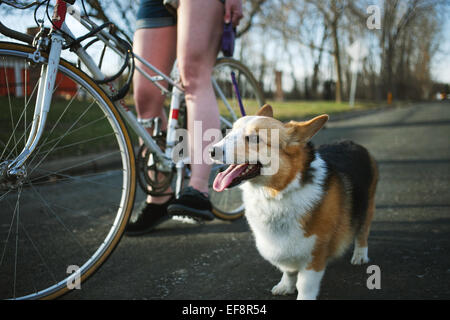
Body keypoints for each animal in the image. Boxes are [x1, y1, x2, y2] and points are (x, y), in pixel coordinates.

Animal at [212, 104, 380, 300]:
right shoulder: (285, 250)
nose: (211, 151)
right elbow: (289, 271)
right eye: (229, 131)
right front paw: (285, 285)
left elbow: (305, 285)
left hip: (367, 205)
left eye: (254, 139)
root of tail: (353, 143)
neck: (278, 192)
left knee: (362, 232)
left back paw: (360, 255)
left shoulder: (315, 254)